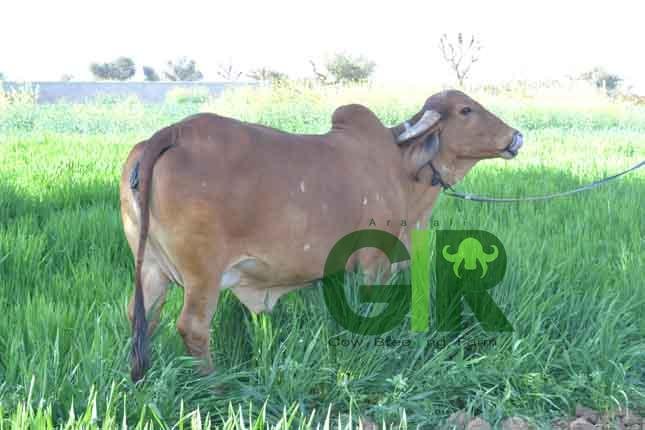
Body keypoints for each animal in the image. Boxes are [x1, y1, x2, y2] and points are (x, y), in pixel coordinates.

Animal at [119, 90, 523, 382]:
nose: (516, 136)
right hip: (202, 274)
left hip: (151, 267)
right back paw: (215, 384)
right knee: (193, 328)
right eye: (466, 110)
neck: (402, 170)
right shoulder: (375, 263)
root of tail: (172, 132)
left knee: (143, 318)